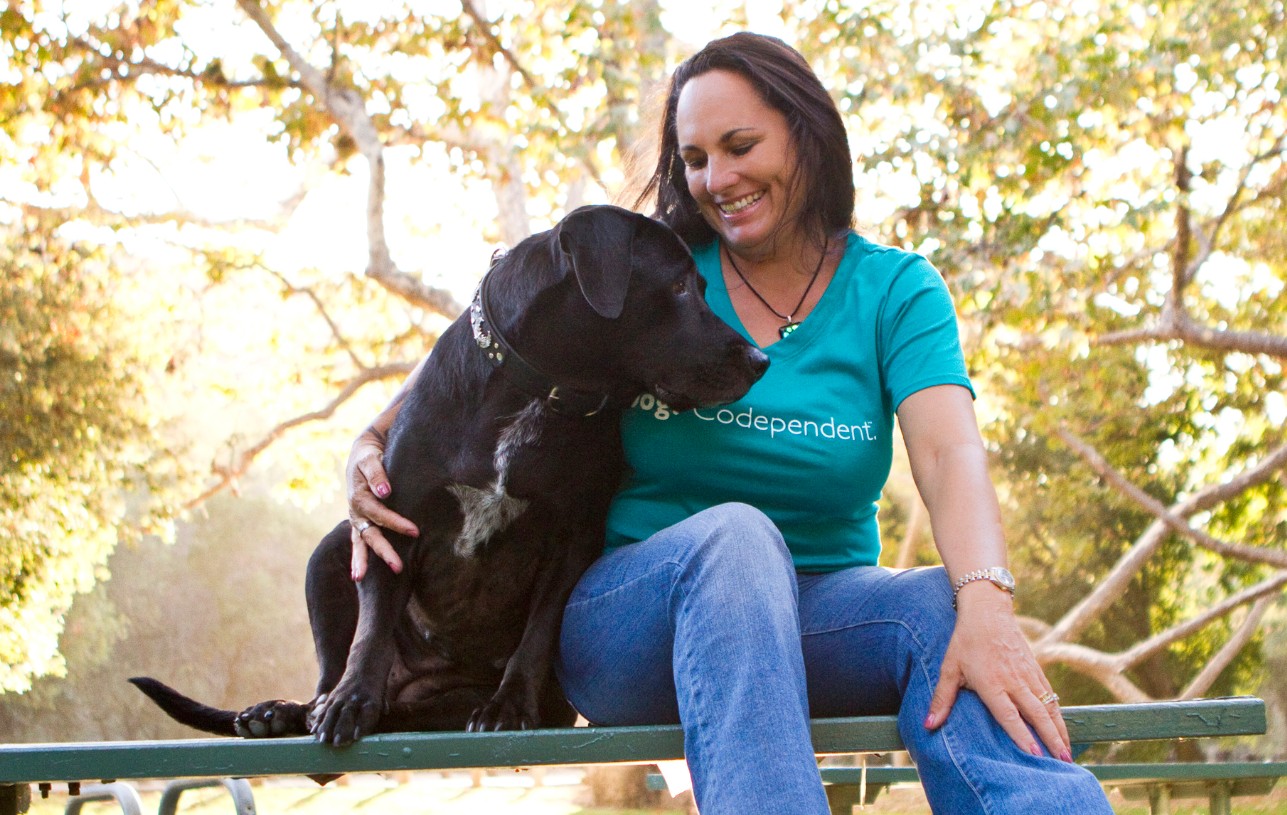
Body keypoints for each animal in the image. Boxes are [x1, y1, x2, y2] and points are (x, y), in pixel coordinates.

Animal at [131, 204, 767, 741]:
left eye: (702, 287)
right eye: (680, 287)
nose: (759, 359)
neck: (535, 388)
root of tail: (412, 694)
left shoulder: (574, 536)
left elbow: (539, 631)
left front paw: (509, 704)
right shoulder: (395, 521)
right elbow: (371, 628)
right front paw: (352, 699)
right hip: (331, 552)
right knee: (330, 668)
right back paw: (291, 710)